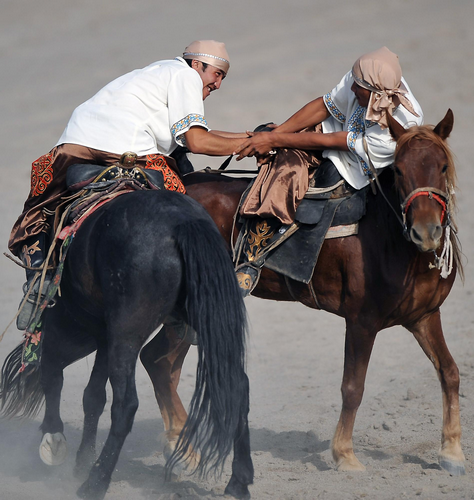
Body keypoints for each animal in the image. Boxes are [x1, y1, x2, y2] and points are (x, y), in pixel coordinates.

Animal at [139, 109, 464, 476]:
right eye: (398, 170)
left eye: (442, 166)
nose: (426, 232)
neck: (389, 239)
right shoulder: (362, 322)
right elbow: (353, 387)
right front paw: (344, 454)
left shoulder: (424, 317)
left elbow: (450, 373)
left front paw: (452, 452)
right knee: (157, 362)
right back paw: (184, 450)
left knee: (163, 365)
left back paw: (178, 444)